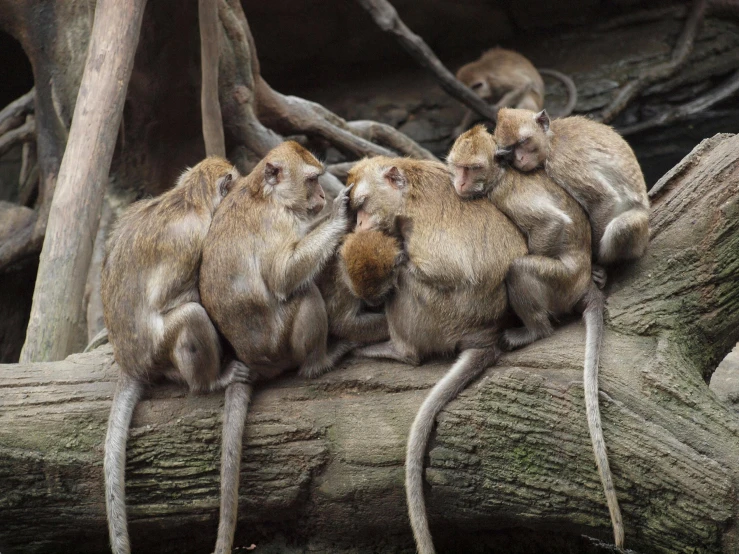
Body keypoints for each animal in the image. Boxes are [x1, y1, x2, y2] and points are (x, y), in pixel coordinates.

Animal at [99, 155, 250, 552]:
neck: (190, 198)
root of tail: (130, 363)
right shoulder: (196, 237)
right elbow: (183, 296)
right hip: (160, 353)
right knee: (191, 315)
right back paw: (211, 381)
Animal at [199, 139, 356, 552]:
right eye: (313, 180)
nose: (322, 197)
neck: (265, 193)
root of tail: (254, 360)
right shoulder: (277, 222)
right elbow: (283, 276)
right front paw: (340, 213)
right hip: (282, 344)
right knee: (304, 293)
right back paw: (320, 361)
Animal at [344, 154, 528, 552]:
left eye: (363, 205)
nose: (360, 225)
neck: (408, 190)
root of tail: (485, 333)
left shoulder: (417, 223)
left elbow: (442, 269)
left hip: (437, 320)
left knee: (405, 281)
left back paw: (399, 350)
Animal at [448, 123, 628, 544]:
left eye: (470, 168)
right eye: (456, 167)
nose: (459, 183)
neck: (498, 176)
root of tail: (580, 282)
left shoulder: (507, 197)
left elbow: (550, 227)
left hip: (559, 282)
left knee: (519, 269)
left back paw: (535, 329)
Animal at [494, 106, 652, 280]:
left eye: (522, 142)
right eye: (509, 150)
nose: (520, 159)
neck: (551, 139)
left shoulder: (561, 162)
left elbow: (602, 199)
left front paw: (595, 262)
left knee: (623, 227)